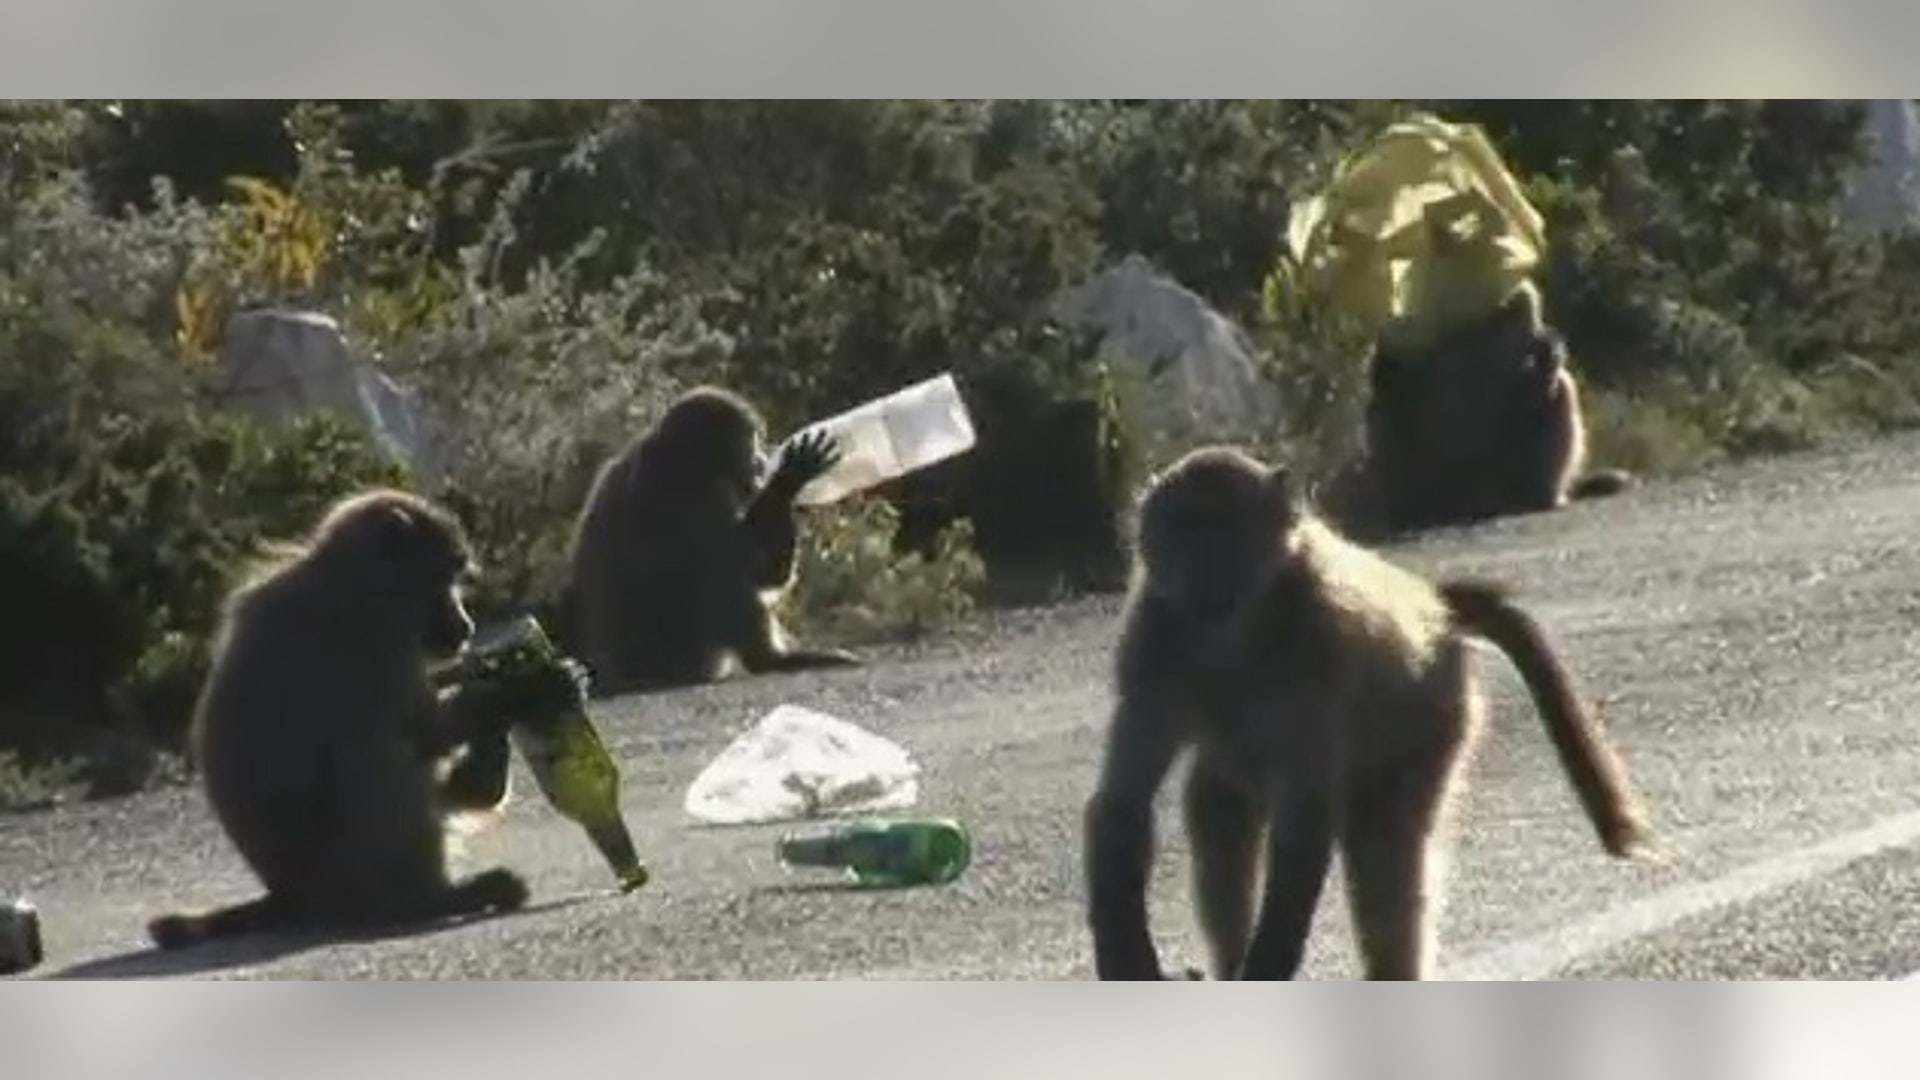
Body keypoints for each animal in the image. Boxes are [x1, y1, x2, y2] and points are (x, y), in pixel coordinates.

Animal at [146, 489, 530, 950]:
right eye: (444, 579)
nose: (466, 627)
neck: (353, 581)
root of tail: (289, 896)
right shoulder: (374, 644)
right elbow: (424, 733)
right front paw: (506, 692)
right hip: (345, 873)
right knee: (371, 750)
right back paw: (431, 899)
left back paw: (482, 783)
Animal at [565, 385, 860, 698]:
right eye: (751, 441)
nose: (761, 463)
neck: (682, 455)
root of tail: (624, 671)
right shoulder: (705, 493)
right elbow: (754, 569)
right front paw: (787, 480)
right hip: (690, 656)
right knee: (719, 569)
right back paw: (768, 661)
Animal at [1083, 446, 1657, 981]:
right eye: (1181, 525)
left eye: (1226, 526)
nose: (1202, 573)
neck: (1237, 632)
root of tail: (1433, 607)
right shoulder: (1154, 642)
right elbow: (1122, 806)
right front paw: (1127, 960)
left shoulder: (1320, 644)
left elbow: (1306, 821)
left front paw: (1267, 965)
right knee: (1218, 808)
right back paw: (1228, 962)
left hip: (1433, 720)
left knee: (1385, 851)